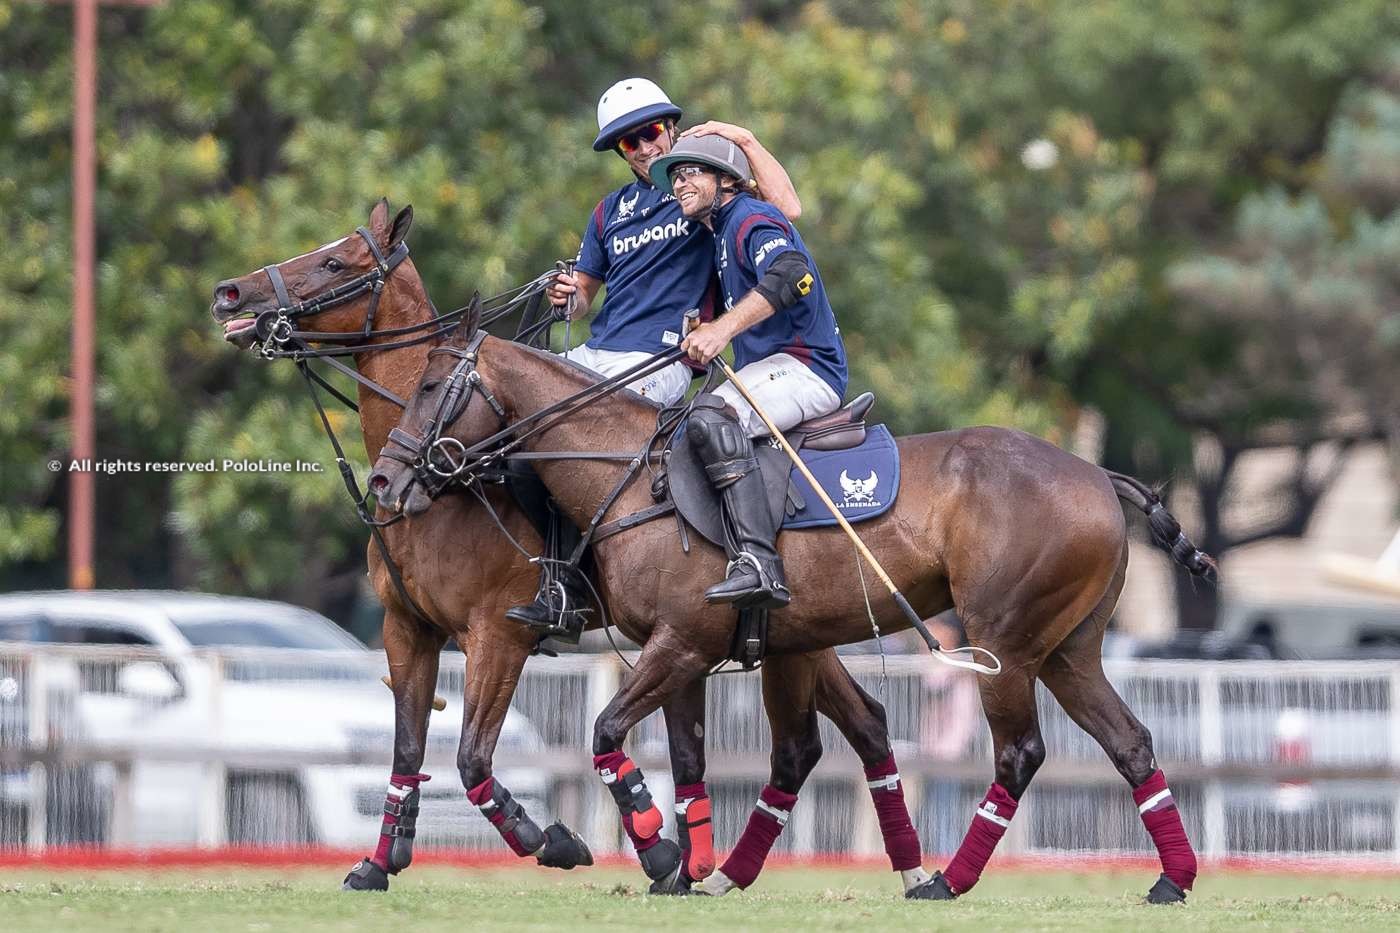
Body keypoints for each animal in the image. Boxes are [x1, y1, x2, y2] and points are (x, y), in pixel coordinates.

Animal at [207, 200, 929, 890]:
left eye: (333, 263)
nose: (229, 293)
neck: (440, 487)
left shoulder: (498, 632)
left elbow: (472, 757)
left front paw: (558, 841)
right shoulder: (405, 627)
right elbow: (407, 751)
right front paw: (378, 864)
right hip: (795, 629)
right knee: (864, 722)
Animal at [369, 306, 1215, 902]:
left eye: (429, 387)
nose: (385, 480)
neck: (628, 471)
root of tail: (1100, 475)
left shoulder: (674, 640)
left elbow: (603, 731)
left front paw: (652, 849)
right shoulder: (697, 646)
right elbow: (700, 754)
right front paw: (682, 863)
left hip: (1003, 640)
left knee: (1019, 752)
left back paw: (947, 878)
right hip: (1065, 648)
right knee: (1130, 742)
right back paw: (1169, 879)